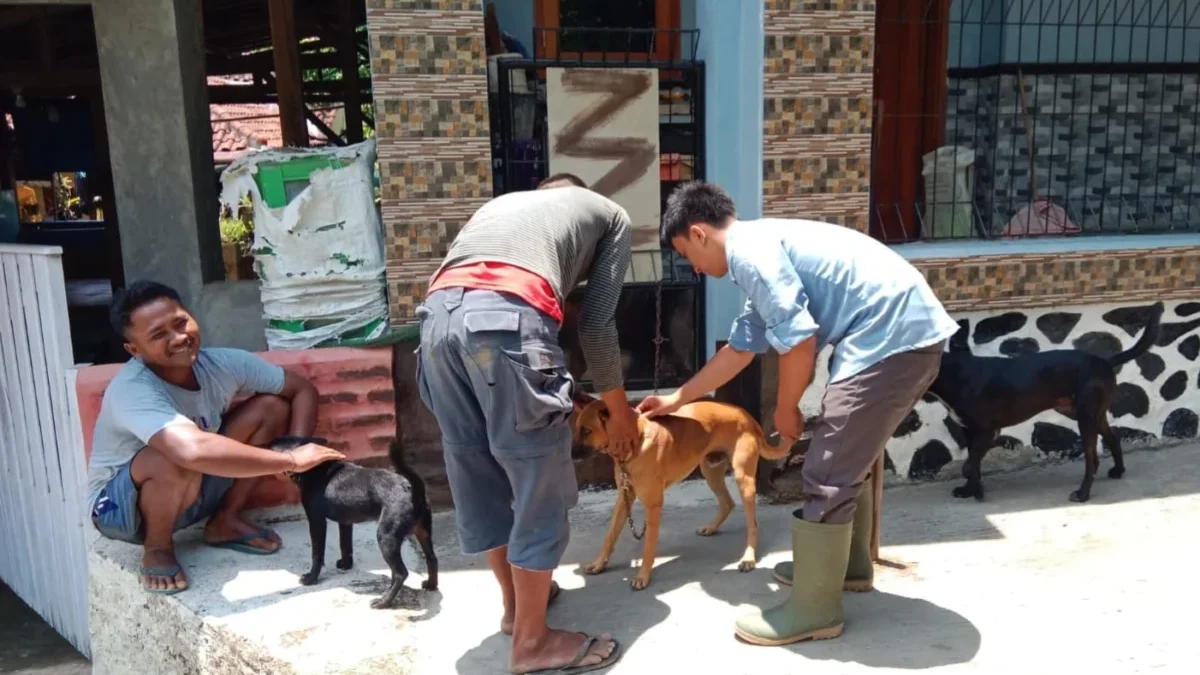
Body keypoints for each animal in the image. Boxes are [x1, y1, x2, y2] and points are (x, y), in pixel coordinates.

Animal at [270, 432, 439, 607]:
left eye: (279, 444)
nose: (269, 443)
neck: (316, 469)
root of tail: (414, 490)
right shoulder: (345, 522)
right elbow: (345, 544)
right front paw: (346, 565)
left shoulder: (316, 521)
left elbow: (317, 553)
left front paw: (311, 578)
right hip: (423, 531)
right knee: (431, 559)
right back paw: (430, 585)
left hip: (386, 536)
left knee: (401, 573)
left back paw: (383, 601)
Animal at [573, 393, 792, 588]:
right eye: (576, 429)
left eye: (586, 431)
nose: (570, 454)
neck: (635, 443)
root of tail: (747, 416)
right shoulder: (624, 497)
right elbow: (609, 536)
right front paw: (599, 564)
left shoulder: (653, 504)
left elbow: (649, 546)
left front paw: (643, 576)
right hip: (710, 470)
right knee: (728, 503)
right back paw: (711, 528)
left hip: (743, 479)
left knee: (753, 524)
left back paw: (748, 558)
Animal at [926, 302, 1161, 502]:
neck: (954, 373)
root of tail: (1104, 361)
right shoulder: (969, 431)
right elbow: (972, 465)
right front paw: (970, 490)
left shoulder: (987, 432)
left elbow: (968, 466)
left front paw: (978, 492)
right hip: (1091, 414)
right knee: (1113, 439)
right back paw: (1118, 471)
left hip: (1086, 418)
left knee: (1092, 459)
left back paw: (1082, 494)